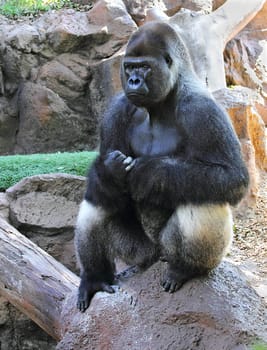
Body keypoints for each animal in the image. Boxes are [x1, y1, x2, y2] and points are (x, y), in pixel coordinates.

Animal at [75, 21, 249, 312]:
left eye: (145, 67)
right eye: (129, 67)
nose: (133, 80)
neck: (162, 103)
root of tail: (157, 257)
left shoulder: (202, 109)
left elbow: (231, 177)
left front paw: (149, 173)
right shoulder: (116, 109)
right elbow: (105, 182)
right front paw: (111, 171)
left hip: (170, 252)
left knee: (203, 195)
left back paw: (186, 269)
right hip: (142, 252)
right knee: (99, 199)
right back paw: (95, 277)